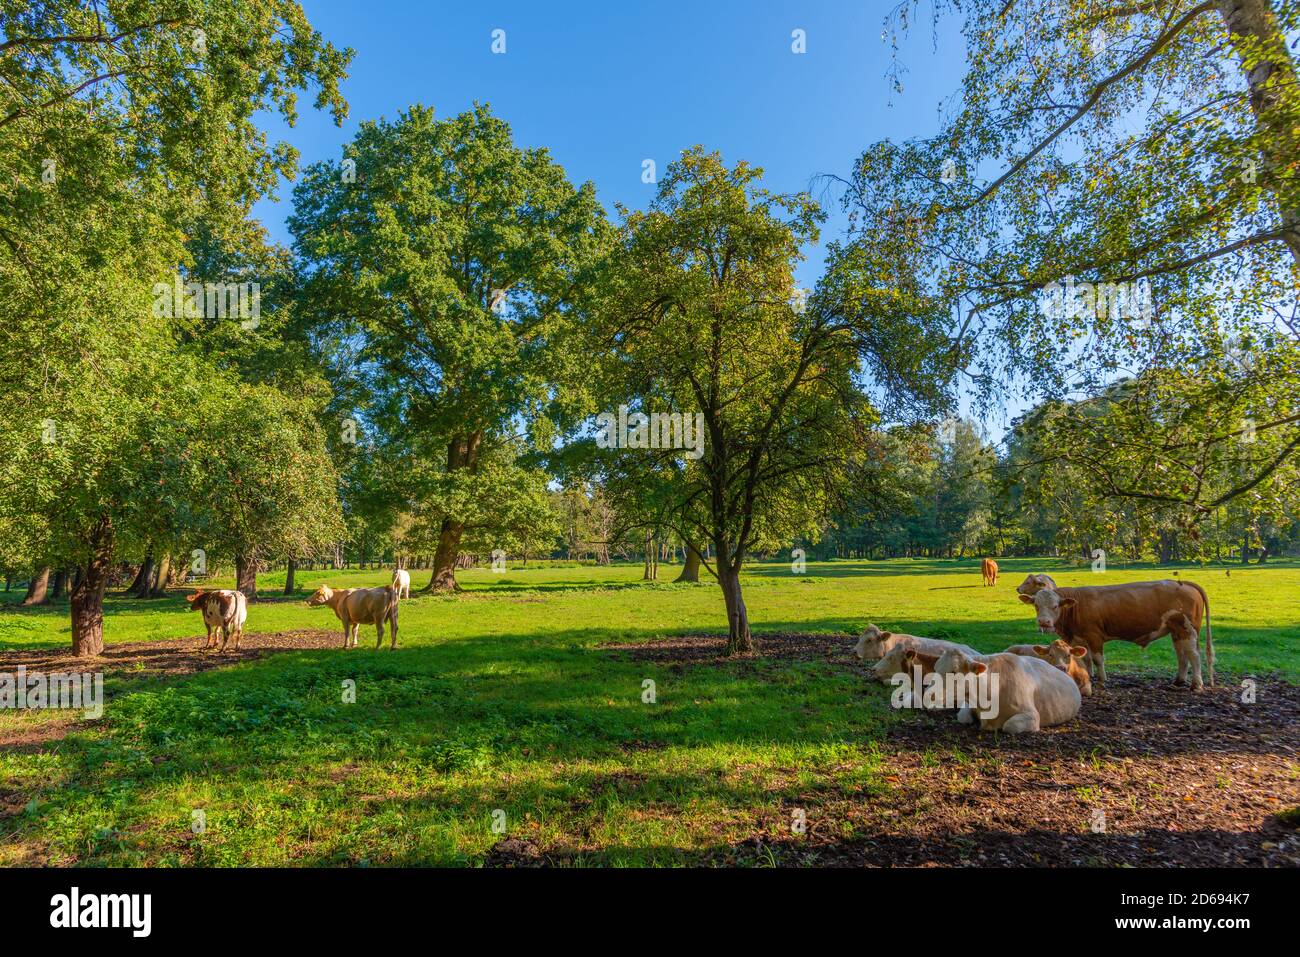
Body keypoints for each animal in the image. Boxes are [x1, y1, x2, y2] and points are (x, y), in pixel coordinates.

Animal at [930, 650, 1081, 733]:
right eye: (936, 668)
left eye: (954, 671)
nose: (929, 695)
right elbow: (963, 717)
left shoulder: (1032, 715)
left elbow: (1009, 726)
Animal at [1013, 574, 1216, 686]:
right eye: (1036, 606)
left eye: (1055, 606)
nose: (1044, 622)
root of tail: (1183, 583)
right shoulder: (1079, 639)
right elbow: (1085, 659)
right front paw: (1088, 675)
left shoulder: (1094, 636)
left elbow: (1097, 659)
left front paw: (1103, 680)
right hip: (1176, 631)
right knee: (1182, 654)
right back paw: (1180, 680)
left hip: (1187, 629)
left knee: (1193, 655)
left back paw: (1196, 684)